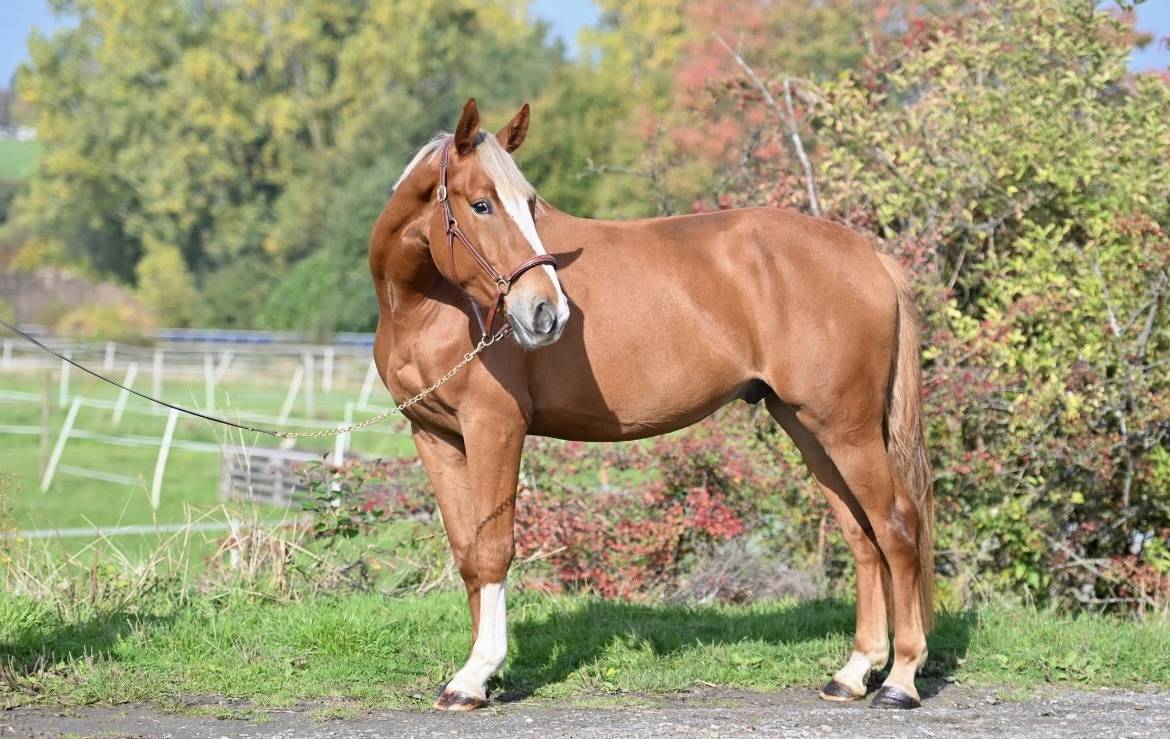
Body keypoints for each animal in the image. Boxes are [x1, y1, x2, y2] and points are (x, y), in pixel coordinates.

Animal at [370, 98, 934, 711]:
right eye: (480, 204)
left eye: (530, 204)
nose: (547, 313)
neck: (428, 306)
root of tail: (868, 254)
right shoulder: (436, 436)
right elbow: (468, 554)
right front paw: (478, 678)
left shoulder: (495, 428)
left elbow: (494, 549)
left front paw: (477, 673)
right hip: (810, 427)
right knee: (862, 535)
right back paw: (854, 672)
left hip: (848, 430)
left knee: (897, 525)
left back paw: (901, 679)